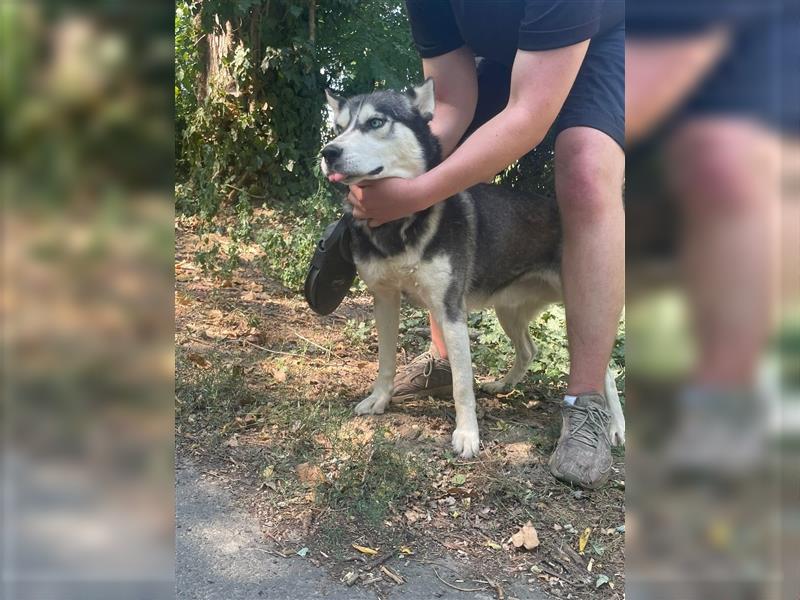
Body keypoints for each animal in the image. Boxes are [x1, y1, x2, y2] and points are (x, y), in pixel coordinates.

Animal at [318, 81, 624, 460]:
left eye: (376, 122)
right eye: (338, 127)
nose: (328, 152)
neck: (399, 227)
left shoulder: (450, 310)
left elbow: (462, 384)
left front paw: (467, 435)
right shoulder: (385, 299)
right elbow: (386, 360)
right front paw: (379, 399)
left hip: (580, 303)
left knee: (608, 372)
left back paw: (615, 427)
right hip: (509, 311)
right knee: (529, 350)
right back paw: (503, 384)